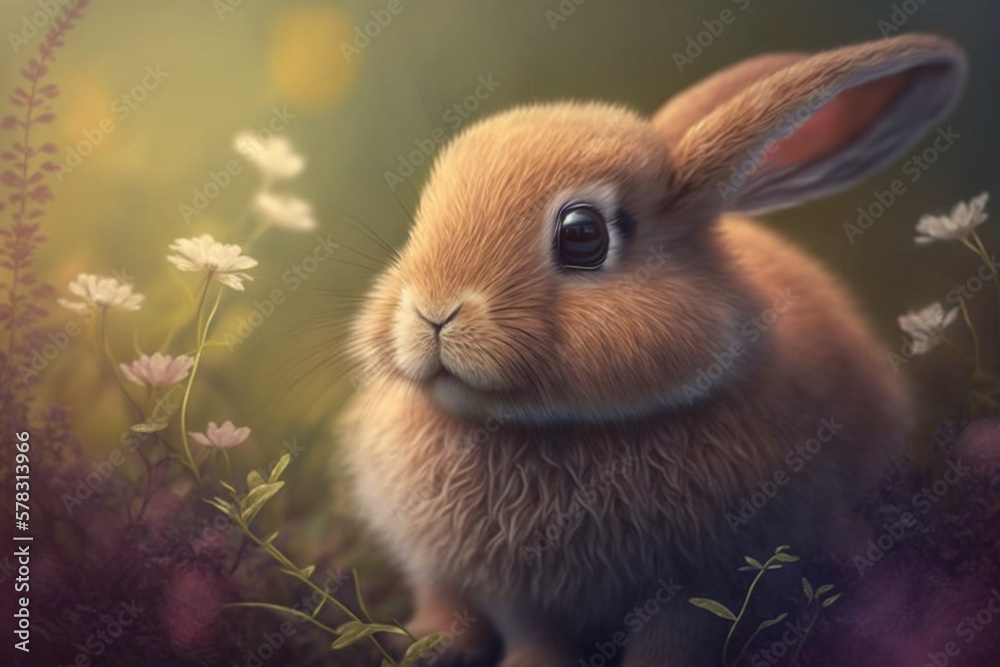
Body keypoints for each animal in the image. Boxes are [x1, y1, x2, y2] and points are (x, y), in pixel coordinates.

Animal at [339, 34, 967, 667]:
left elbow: (672, 635)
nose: (434, 311)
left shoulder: (702, 579)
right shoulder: (511, 590)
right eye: (423, 216)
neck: (548, 428)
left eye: (583, 234)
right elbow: (533, 633)